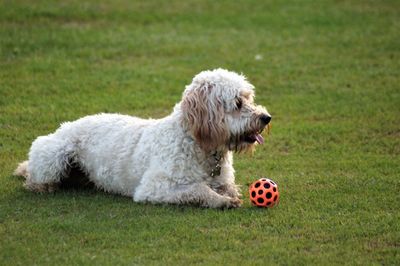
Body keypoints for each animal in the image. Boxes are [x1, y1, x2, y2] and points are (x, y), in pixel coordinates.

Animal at [15, 68, 272, 208]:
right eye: (237, 103)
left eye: (249, 97)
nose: (266, 117)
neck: (198, 143)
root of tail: (63, 128)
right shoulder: (154, 188)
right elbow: (198, 189)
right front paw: (220, 200)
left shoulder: (223, 178)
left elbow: (229, 187)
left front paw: (228, 195)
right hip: (53, 157)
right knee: (36, 178)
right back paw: (42, 186)